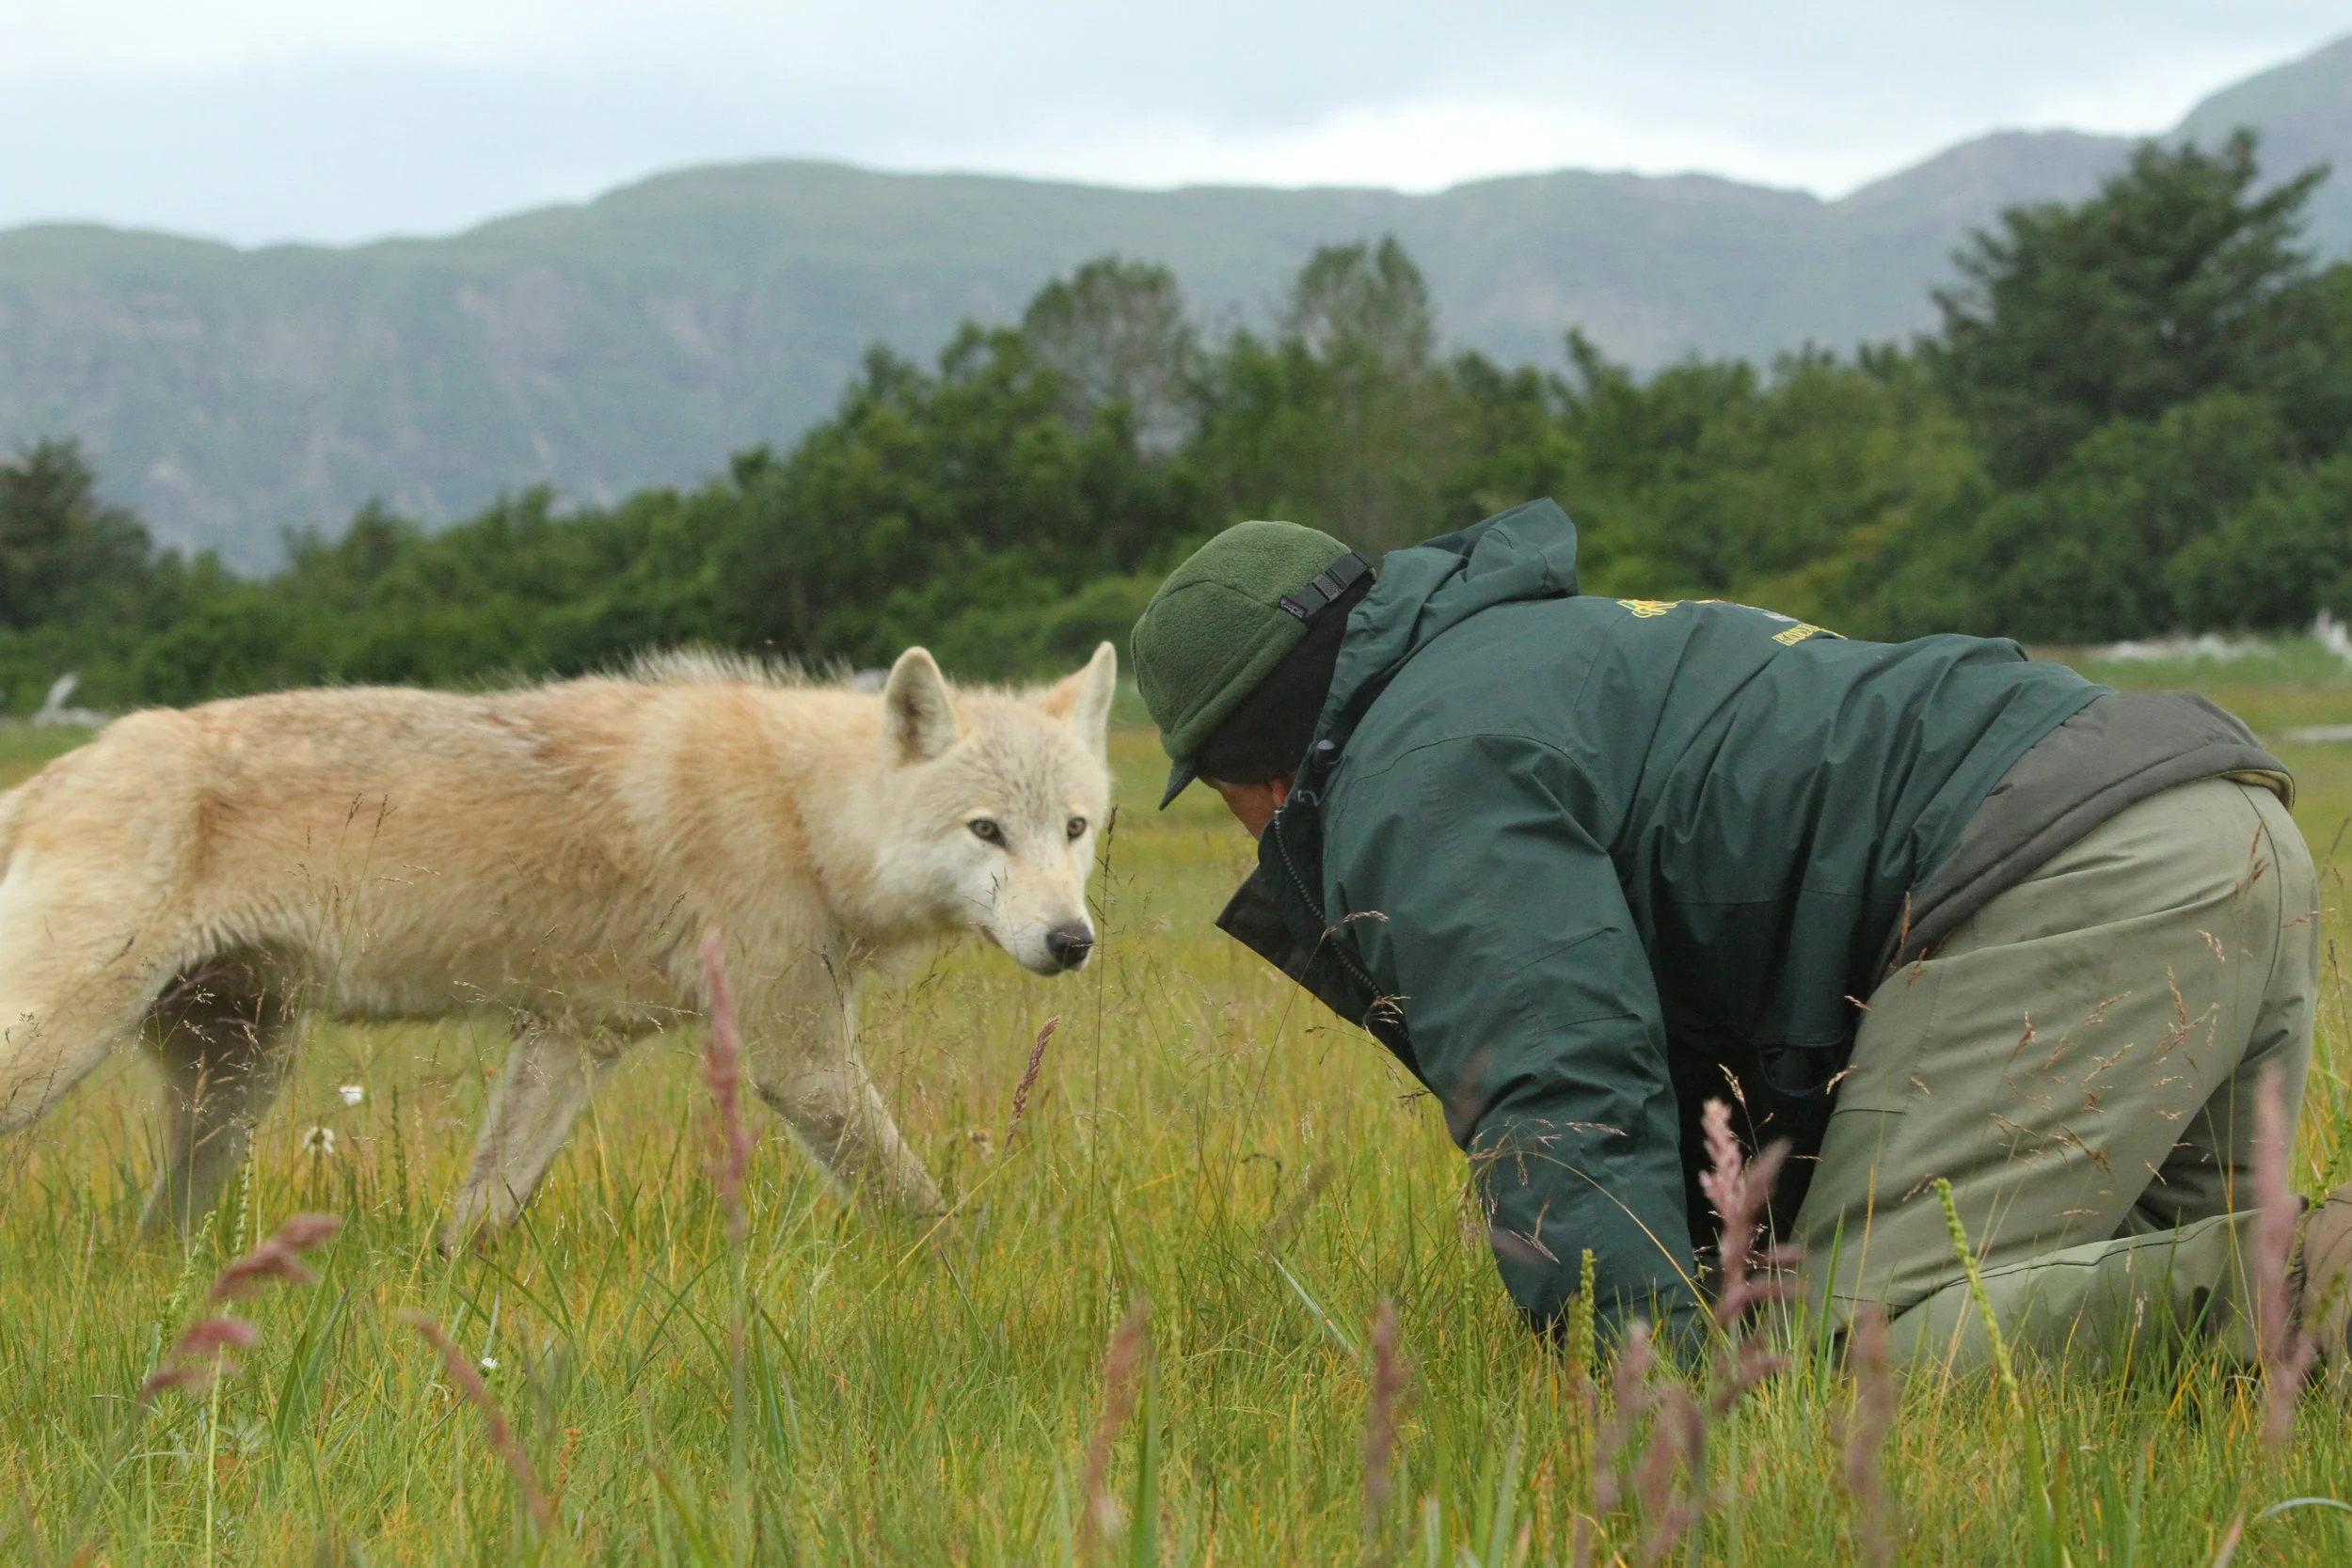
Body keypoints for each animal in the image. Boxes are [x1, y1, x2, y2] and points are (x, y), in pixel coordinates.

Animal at [0, 642, 1118, 1243]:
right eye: (987, 830)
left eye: (1074, 828)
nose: (1072, 941)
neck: (803, 808)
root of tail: (51, 776)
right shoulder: (802, 1064)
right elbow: (925, 1208)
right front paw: (977, 1274)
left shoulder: (569, 1039)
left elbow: (478, 1215)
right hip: (77, 1048)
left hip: (235, 1084)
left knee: (160, 1235)